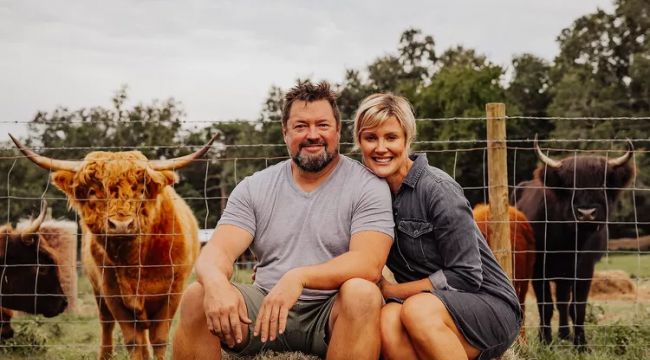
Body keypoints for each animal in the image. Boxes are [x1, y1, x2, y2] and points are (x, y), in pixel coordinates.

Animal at [10, 135, 216, 360]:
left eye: (141, 190)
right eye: (93, 192)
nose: (121, 225)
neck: (136, 264)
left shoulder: (172, 292)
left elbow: (159, 339)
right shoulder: (113, 295)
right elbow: (132, 341)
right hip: (98, 292)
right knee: (108, 325)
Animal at [512, 139, 632, 350]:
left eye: (602, 184)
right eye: (570, 186)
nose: (586, 213)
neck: (569, 241)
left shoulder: (584, 268)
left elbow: (577, 307)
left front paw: (581, 345)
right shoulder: (539, 269)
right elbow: (546, 306)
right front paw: (545, 341)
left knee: (562, 302)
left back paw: (565, 335)